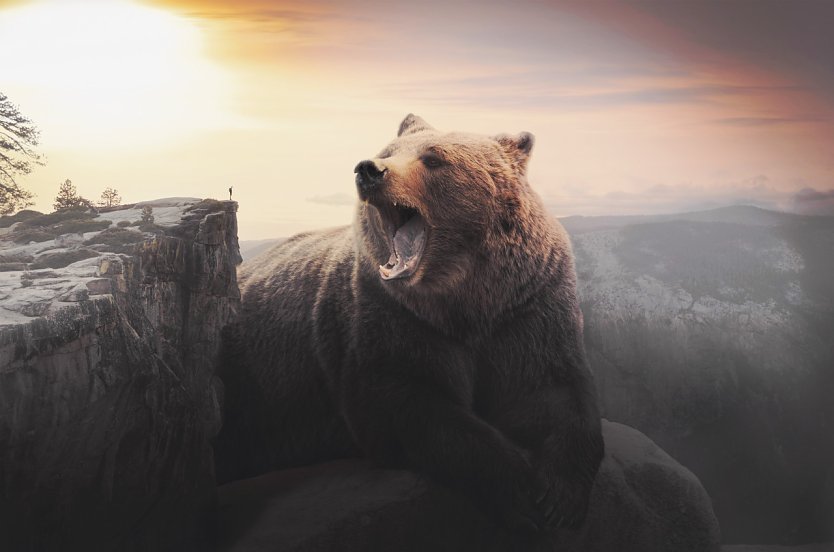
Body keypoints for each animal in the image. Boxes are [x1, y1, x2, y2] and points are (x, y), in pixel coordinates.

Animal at [215, 114, 604, 534]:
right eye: (387, 151)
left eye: (433, 159)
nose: (369, 170)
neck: (466, 302)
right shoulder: (393, 319)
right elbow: (411, 403)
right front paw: (519, 495)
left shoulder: (527, 308)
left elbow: (551, 388)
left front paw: (558, 499)